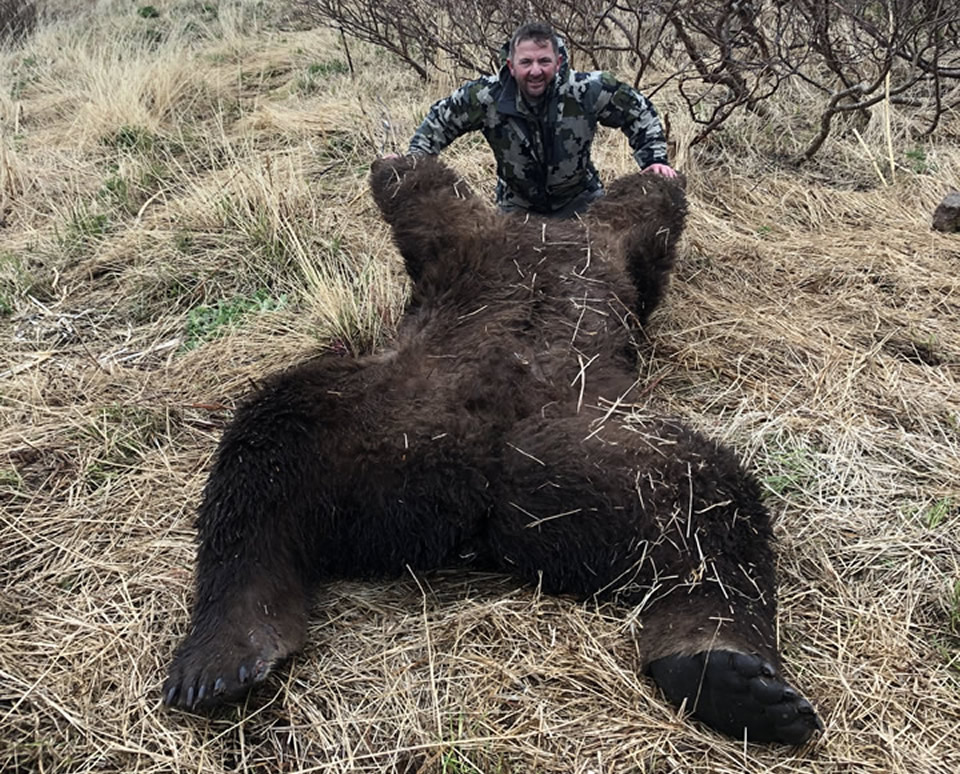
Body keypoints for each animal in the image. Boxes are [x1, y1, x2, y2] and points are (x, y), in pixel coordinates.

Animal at [161, 156, 820, 744]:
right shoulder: (487, 237)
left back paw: (732, 676)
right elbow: (428, 194)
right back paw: (219, 658)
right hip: (381, 419)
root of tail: (472, 491)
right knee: (264, 452)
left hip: (596, 449)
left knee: (706, 504)